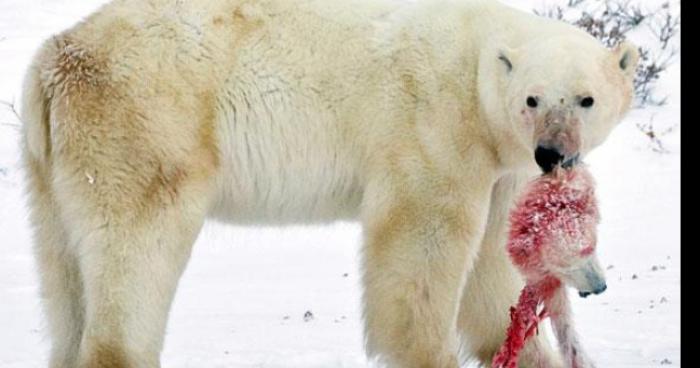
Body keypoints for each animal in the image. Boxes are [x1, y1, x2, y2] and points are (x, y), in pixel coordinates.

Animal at [21, 0, 636, 366]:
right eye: (533, 98)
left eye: (586, 99)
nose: (552, 154)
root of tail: (53, 59)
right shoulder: (435, 125)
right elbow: (421, 245)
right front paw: (430, 352)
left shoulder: (499, 167)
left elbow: (491, 268)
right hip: (146, 128)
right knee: (136, 256)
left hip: (55, 167)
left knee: (64, 273)